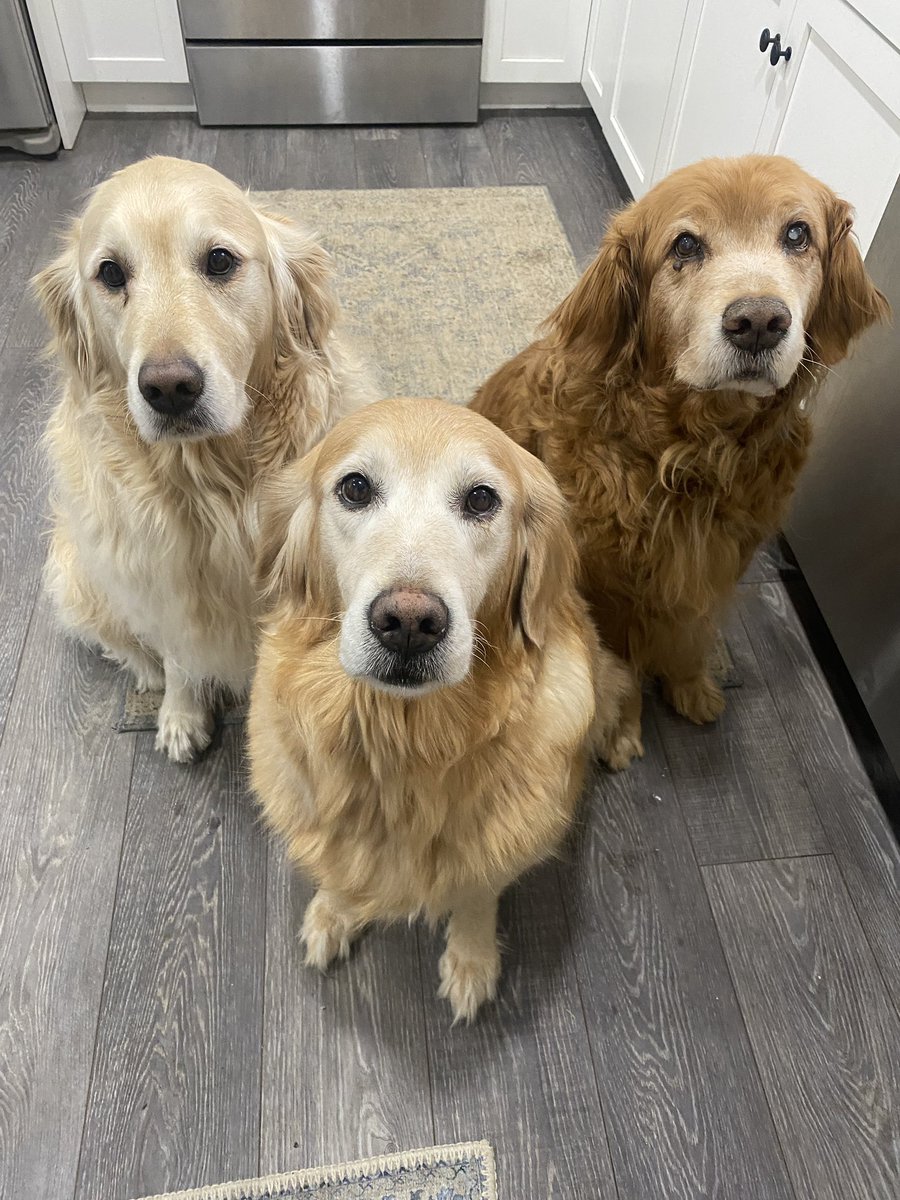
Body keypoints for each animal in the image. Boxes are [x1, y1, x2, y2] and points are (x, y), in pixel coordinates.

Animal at [34, 157, 374, 758]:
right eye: (111, 273)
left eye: (220, 260)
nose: (169, 388)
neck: (216, 487)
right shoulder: (160, 583)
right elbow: (179, 655)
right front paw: (181, 712)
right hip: (77, 574)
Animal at [250, 398, 638, 1017]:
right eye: (355, 488)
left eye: (481, 499)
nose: (409, 622)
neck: (405, 746)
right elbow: (341, 868)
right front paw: (334, 911)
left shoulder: (503, 844)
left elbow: (477, 892)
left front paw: (471, 960)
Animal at [472, 153, 888, 724]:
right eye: (685, 245)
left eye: (797, 234)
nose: (759, 320)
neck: (694, 451)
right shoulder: (602, 584)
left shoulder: (716, 568)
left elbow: (689, 637)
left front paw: (691, 686)